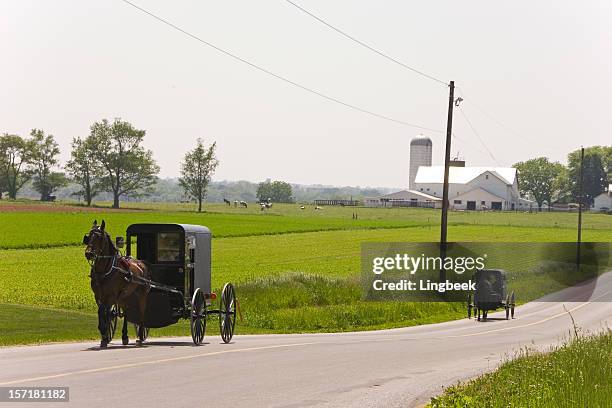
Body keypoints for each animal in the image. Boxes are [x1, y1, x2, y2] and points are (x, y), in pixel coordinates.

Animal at [84, 220, 151, 348]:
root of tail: (141, 264)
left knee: (141, 312)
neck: (104, 271)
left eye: (99, 237)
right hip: (126, 296)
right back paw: (124, 336)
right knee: (126, 313)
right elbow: (101, 312)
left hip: (141, 294)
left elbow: (105, 313)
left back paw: (140, 337)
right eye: (88, 237)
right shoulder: (98, 296)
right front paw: (104, 335)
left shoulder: (111, 296)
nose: (89, 254)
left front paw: (104, 332)